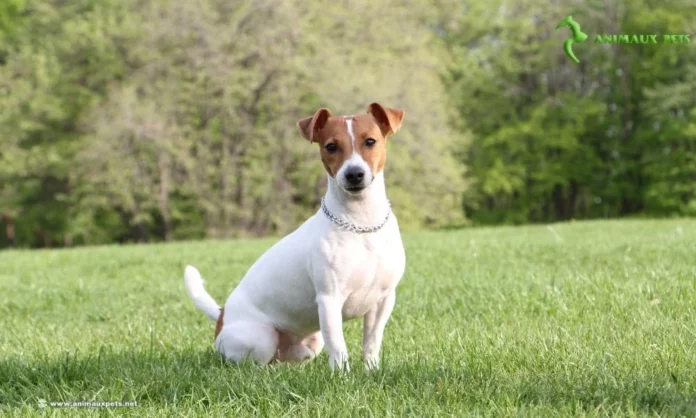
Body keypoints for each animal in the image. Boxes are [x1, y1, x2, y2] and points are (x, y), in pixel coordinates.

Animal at [185, 103, 408, 370]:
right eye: (331, 146)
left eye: (371, 141)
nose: (354, 174)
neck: (360, 223)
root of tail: (221, 315)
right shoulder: (329, 300)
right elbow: (339, 347)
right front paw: (342, 375)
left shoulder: (383, 301)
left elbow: (372, 344)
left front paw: (371, 372)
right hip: (262, 337)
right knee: (254, 363)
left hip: (311, 343)